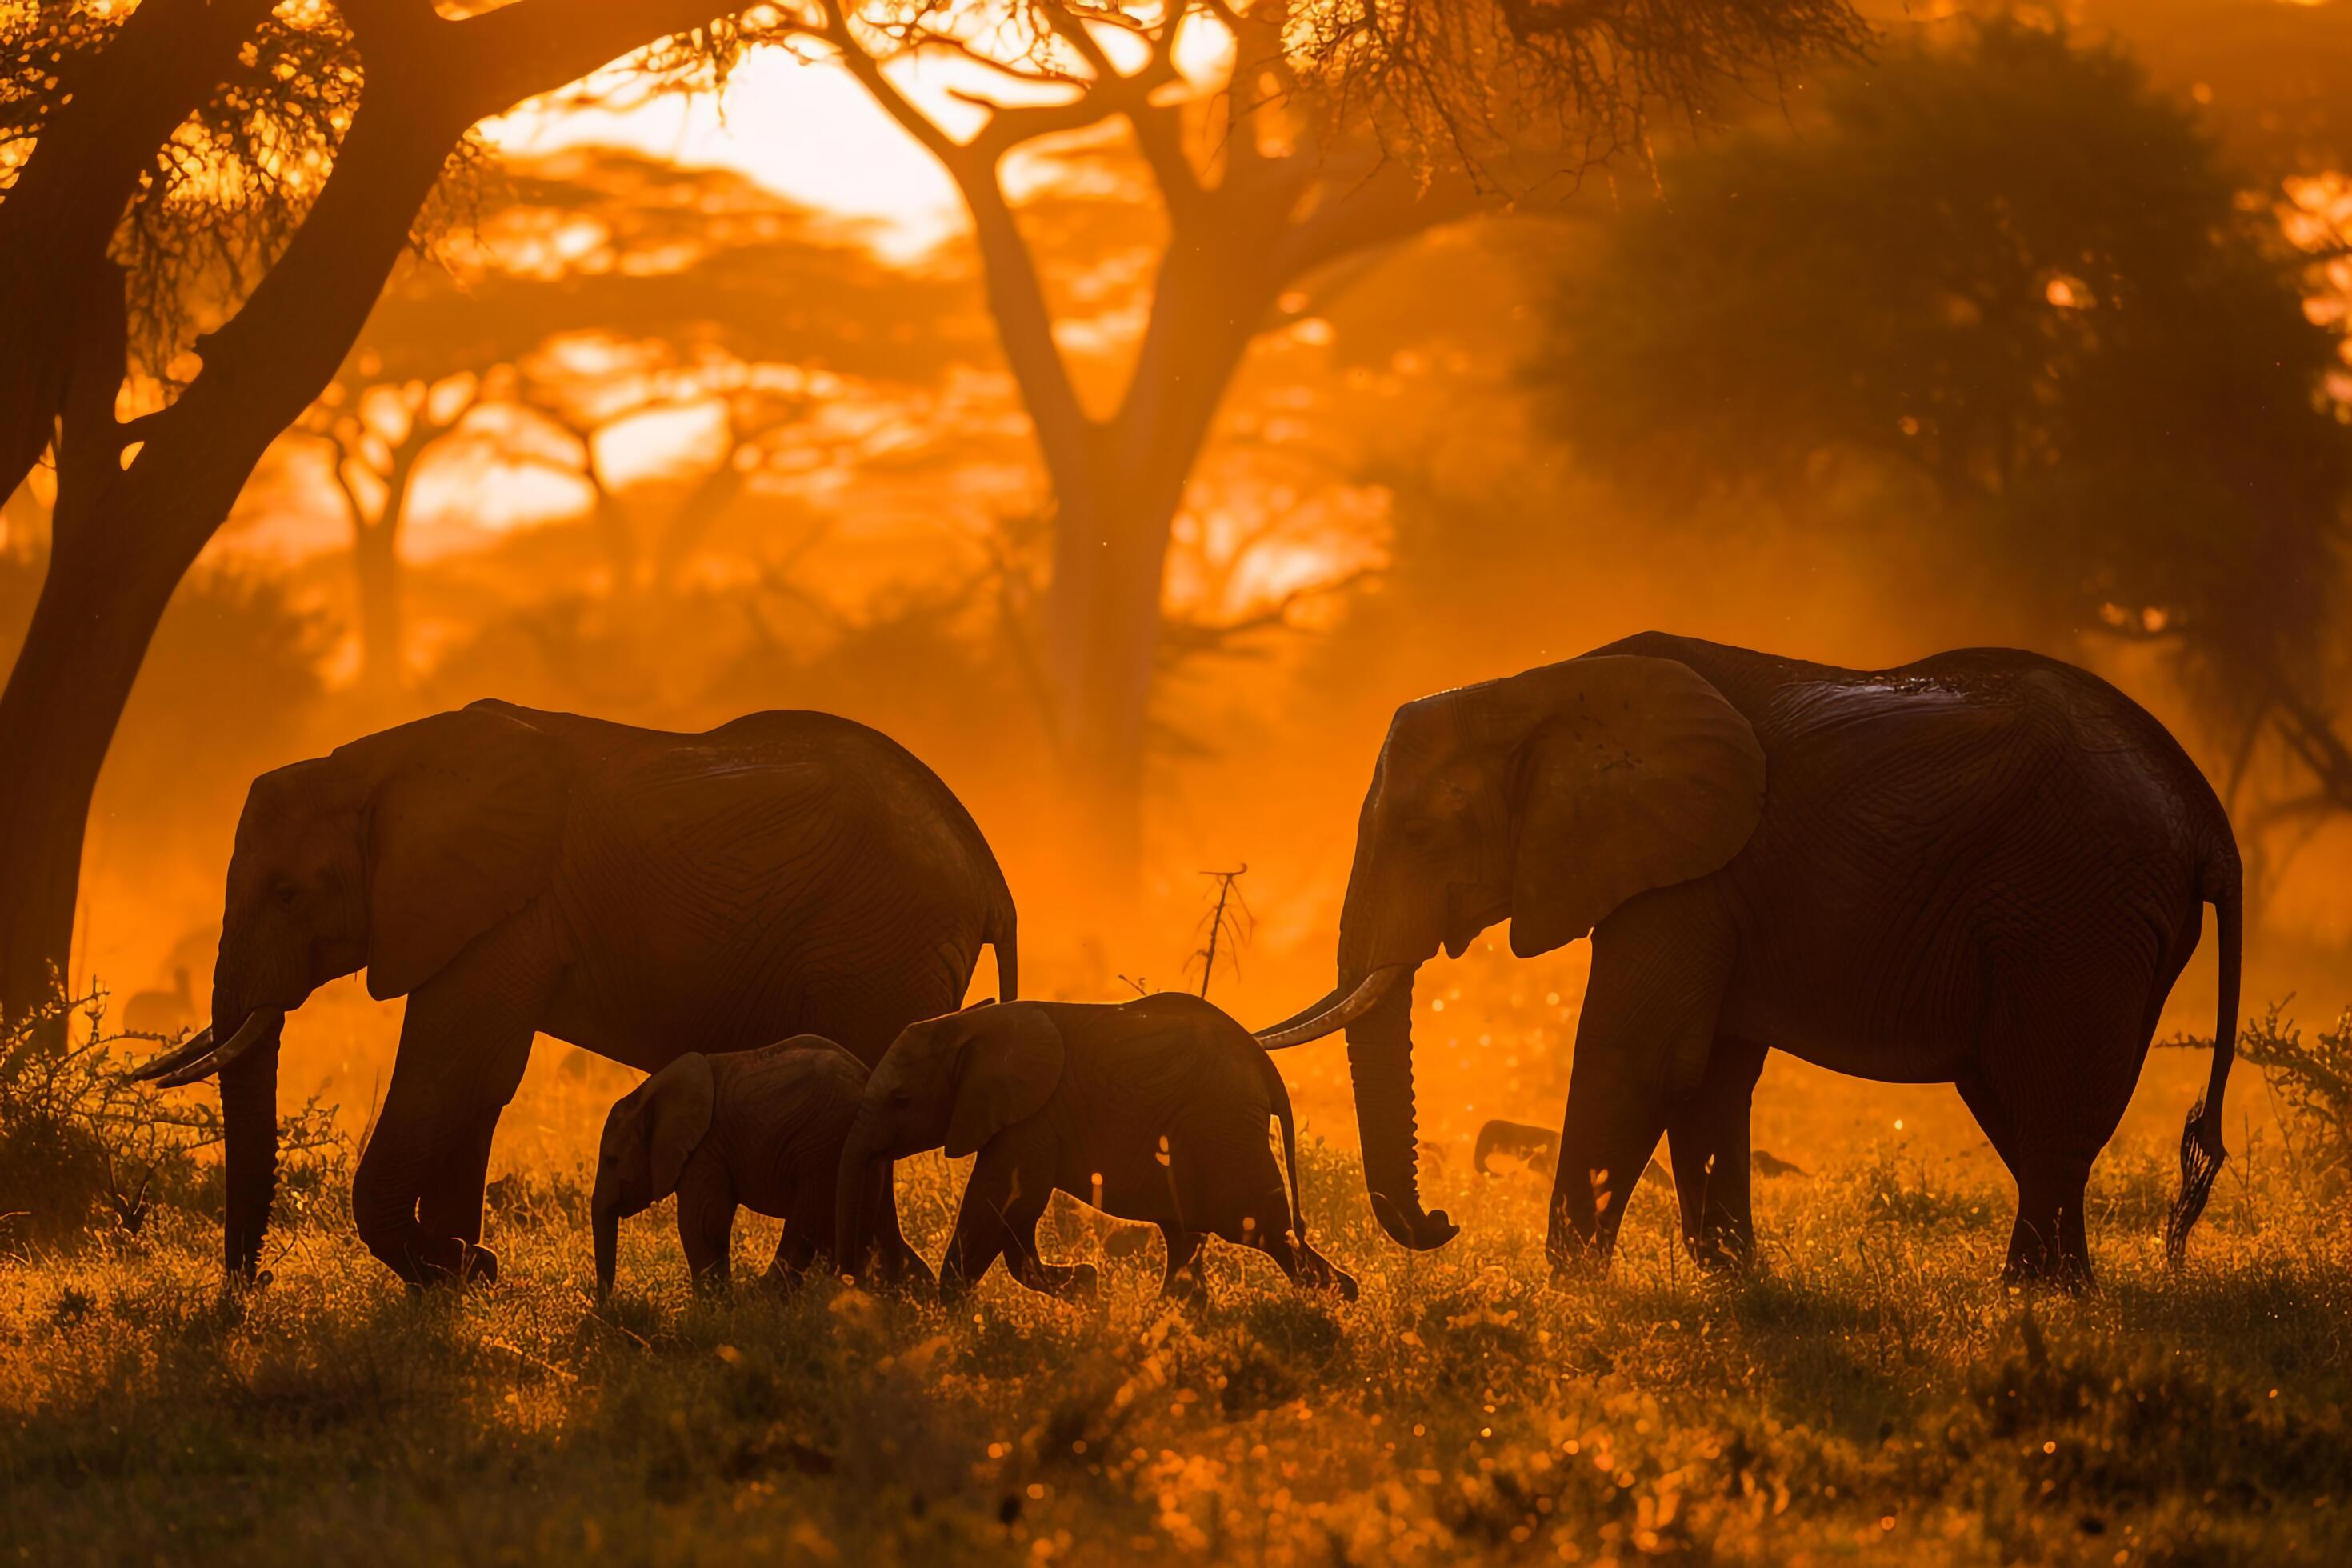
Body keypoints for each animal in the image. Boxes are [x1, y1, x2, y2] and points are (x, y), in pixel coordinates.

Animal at [588, 1034, 926, 1298]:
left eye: (613, 1160)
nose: (608, 1305)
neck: (648, 1092)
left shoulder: (706, 1149)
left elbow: (703, 1222)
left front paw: (715, 1312)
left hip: (824, 1146)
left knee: (810, 1227)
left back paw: (762, 1301)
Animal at [832, 1001, 1354, 1306]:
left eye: (901, 1100)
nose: (848, 1283)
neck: (968, 1025)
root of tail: (1263, 1064)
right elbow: (1013, 1216)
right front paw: (1086, 1288)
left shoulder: (1031, 1118)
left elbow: (999, 1203)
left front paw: (947, 1313)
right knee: (1189, 1232)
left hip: (1223, 1129)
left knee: (1259, 1226)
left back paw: (1334, 1300)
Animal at [1260, 630, 2248, 1298]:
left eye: (1425, 836)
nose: (1441, 1220)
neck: (1536, 687)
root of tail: (2209, 820)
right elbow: (1709, 1073)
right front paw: (1731, 1282)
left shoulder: (1689, 873)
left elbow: (1641, 1057)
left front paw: (1572, 1292)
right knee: (2031, 1105)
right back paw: (2065, 1293)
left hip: (2075, 913)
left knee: (2043, 1097)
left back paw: (2025, 1297)